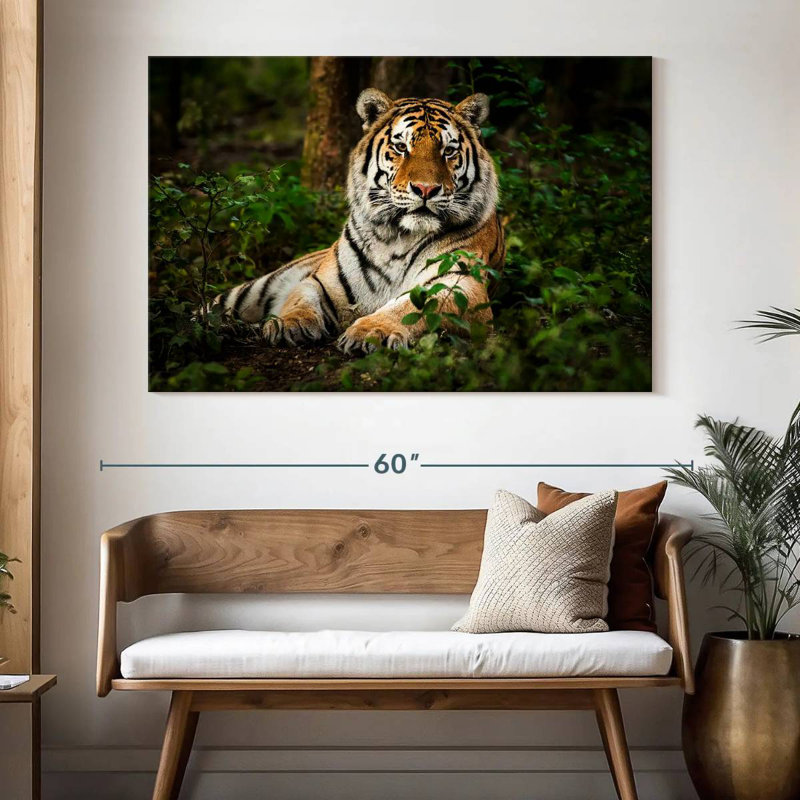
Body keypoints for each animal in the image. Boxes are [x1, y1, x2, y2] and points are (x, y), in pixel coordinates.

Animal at [213, 88, 505, 354]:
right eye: (401, 147)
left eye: (448, 151)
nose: (425, 189)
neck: (398, 237)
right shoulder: (321, 282)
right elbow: (299, 298)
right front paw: (288, 324)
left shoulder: (461, 285)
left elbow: (410, 307)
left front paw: (372, 332)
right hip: (253, 290)